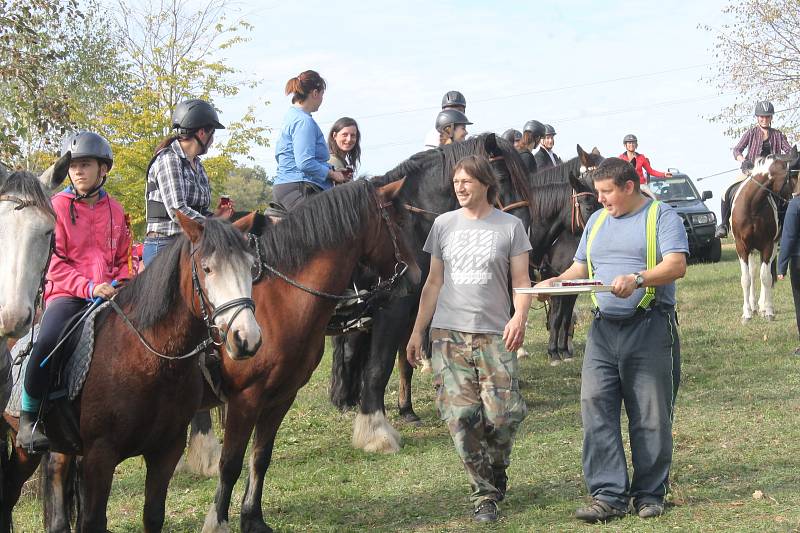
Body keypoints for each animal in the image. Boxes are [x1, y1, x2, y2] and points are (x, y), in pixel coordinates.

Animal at [2, 213, 260, 532]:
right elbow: (94, 521)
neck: (150, 359)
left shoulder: (166, 450)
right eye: (208, 268)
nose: (246, 338)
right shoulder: (101, 455)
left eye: (251, 267)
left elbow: (153, 515)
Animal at [193, 180, 418, 532]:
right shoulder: (246, 399)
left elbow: (261, 456)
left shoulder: (281, 395)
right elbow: (230, 464)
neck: (281, 300)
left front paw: (252, 518)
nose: (417, 275)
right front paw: (218, 522)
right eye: (397, 222)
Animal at [324, 134, 532, 454]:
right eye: (501, 176)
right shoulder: (392, 309)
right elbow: (379, 366)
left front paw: (407, 409)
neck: (411, 225)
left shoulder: (415, 308)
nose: (523, 231)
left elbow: (406, 358)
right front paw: (376, 432)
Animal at [732, 151, 792, 324]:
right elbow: (746, 279)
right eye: (793, 177)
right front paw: (746, 314)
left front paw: (769, 311)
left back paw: (763, 306)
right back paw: (753, 306)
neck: (752, 205)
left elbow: (766, 277)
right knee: (752, 273)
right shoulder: (742, 247)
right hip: (751, 250)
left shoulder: (767, 245)